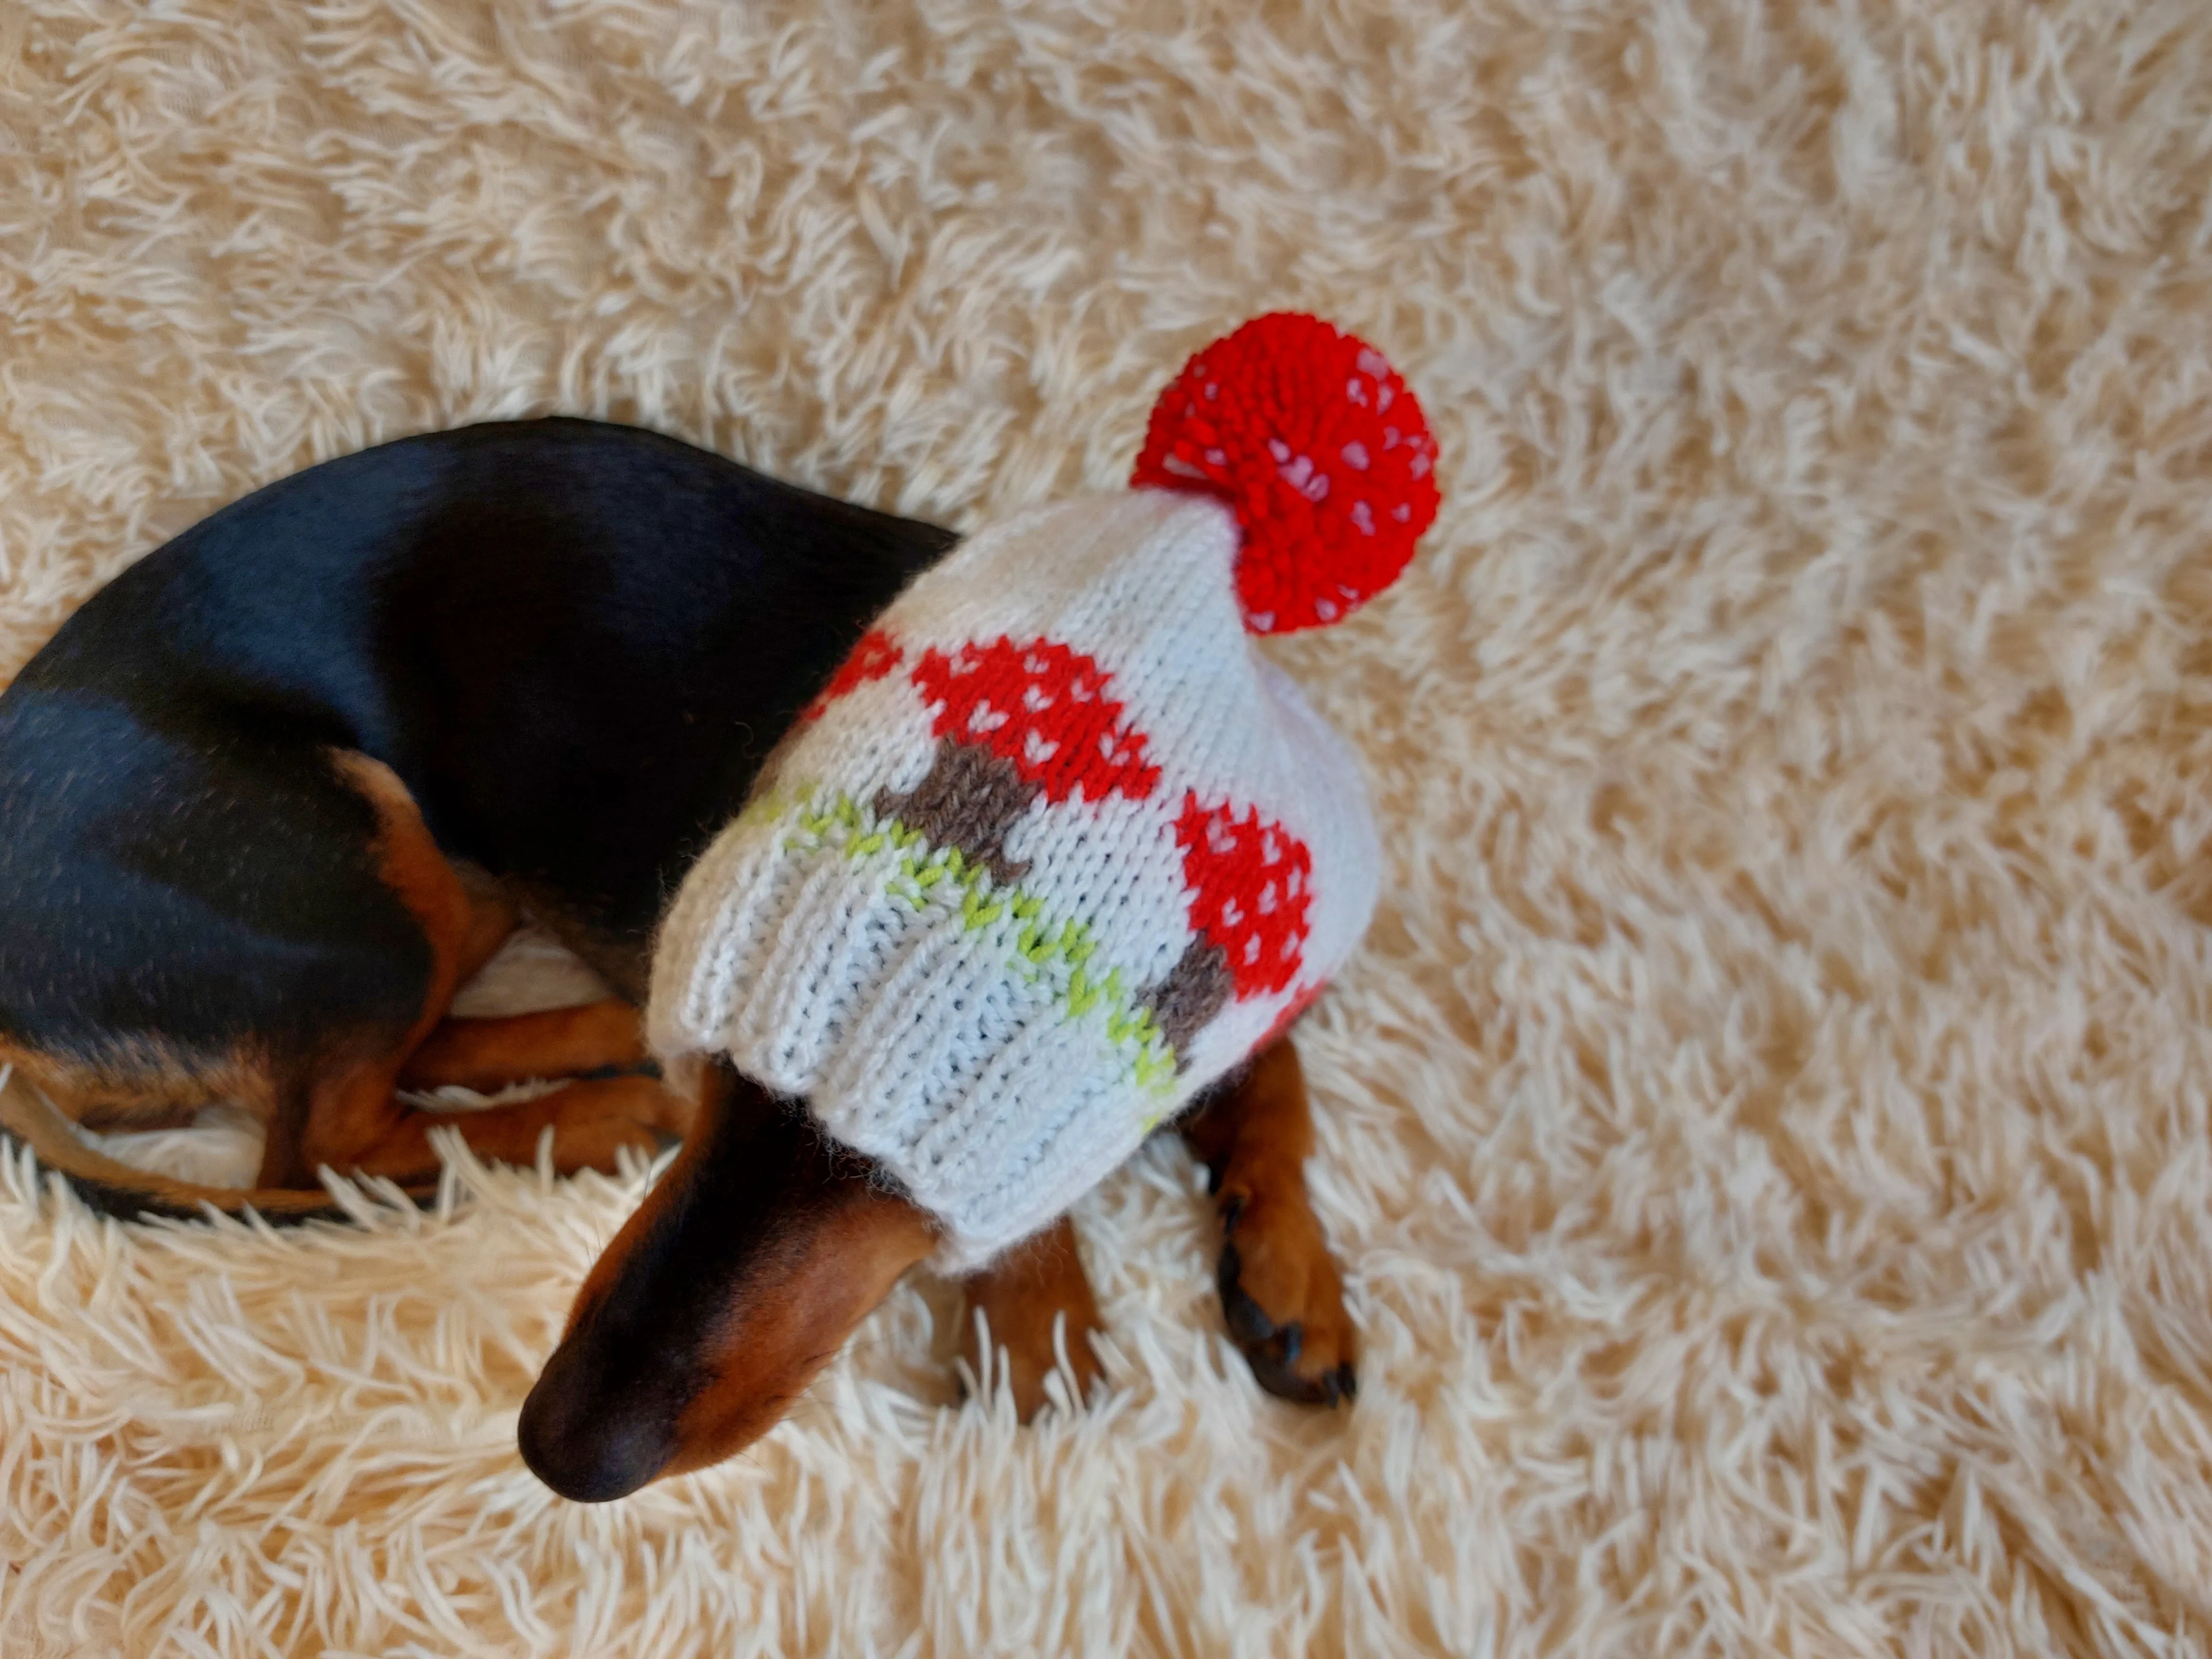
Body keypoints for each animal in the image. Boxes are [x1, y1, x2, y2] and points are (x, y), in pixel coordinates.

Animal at [0, 418, 1353, 1504]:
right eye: (730, 1071)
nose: (558, 1453)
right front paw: (1042, 1329)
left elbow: (1273, 1081)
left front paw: (1295, 1280)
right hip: (362, 865)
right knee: (329, 1144)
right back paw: (597, 1111)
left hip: (435, 884)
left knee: (398, 1075)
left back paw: (598, 1047)